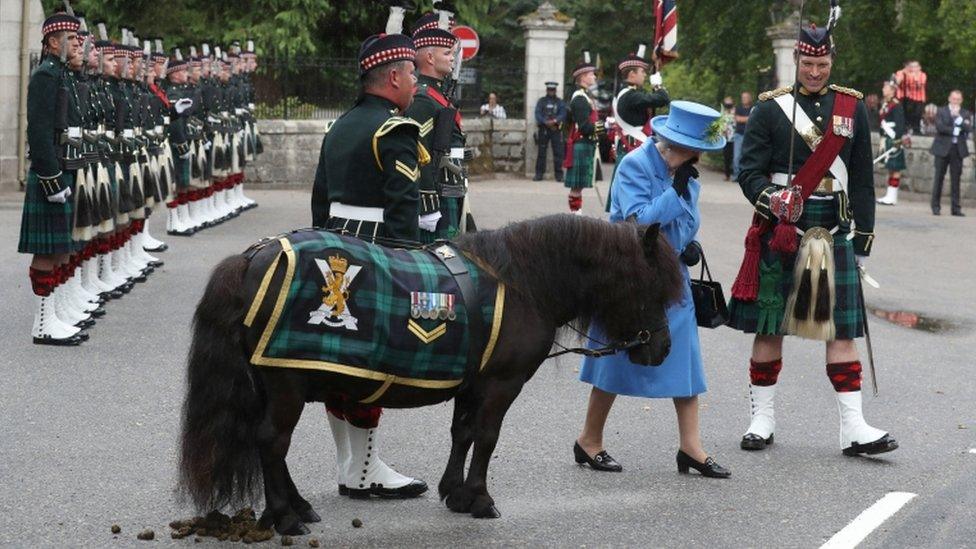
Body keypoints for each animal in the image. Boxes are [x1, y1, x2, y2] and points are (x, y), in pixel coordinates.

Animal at [181, 213, 688, 532]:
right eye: (653, 286)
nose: (663, 349)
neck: (522, 282)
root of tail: (253, 256)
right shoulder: (501, 385)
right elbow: (486, 437)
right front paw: (481, 498)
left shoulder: (474, 384)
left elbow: (462, 433)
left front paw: (456, 494)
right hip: (286, 383)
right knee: (271, 441)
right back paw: (285, 517)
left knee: (268, 441)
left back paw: (297, 508)